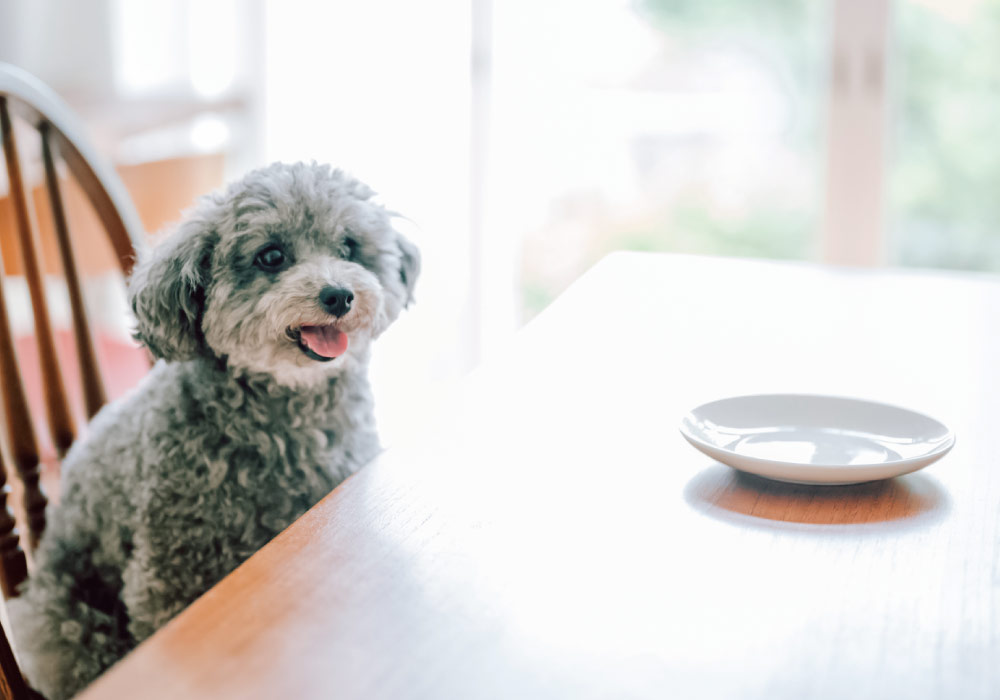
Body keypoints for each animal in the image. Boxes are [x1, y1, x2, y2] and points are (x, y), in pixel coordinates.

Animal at [6, 161, 418, 696]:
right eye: (271, 256)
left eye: (349, 246)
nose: (339, 295)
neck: (286, 416)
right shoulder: (170, 573)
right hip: (62, 618)